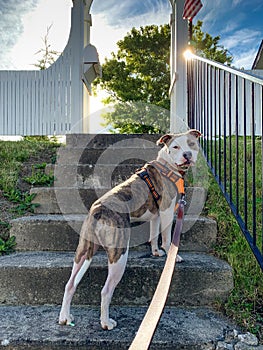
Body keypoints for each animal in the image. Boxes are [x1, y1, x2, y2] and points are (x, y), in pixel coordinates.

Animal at [58, 129, 201, 330]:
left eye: (191, 143)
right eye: (175, 147)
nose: (187, 155)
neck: (167, 165)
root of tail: (97, 210)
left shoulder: (156, 214)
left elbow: (154, 234)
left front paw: (155, 252)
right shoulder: (166, 210)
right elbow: (166, 238)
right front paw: (172, 255)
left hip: (83, 250)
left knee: (70, 284)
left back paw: (65, 317)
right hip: (119, 256)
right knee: (105, 291)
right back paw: (106, 322)